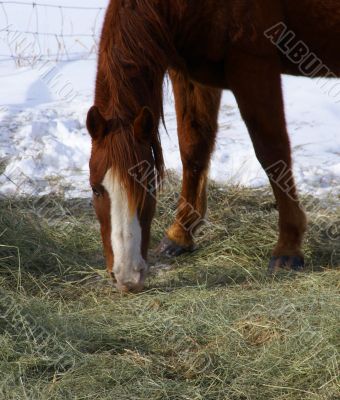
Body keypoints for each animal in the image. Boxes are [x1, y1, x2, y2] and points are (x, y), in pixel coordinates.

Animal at [87, 0, 340, 294]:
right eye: (95, 189)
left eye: (149, 185)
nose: (127, 276)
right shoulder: (190, 74)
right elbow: (194, 148)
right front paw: (180, 234)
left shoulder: (253, 65)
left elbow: (272, 151)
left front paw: (288, 247)